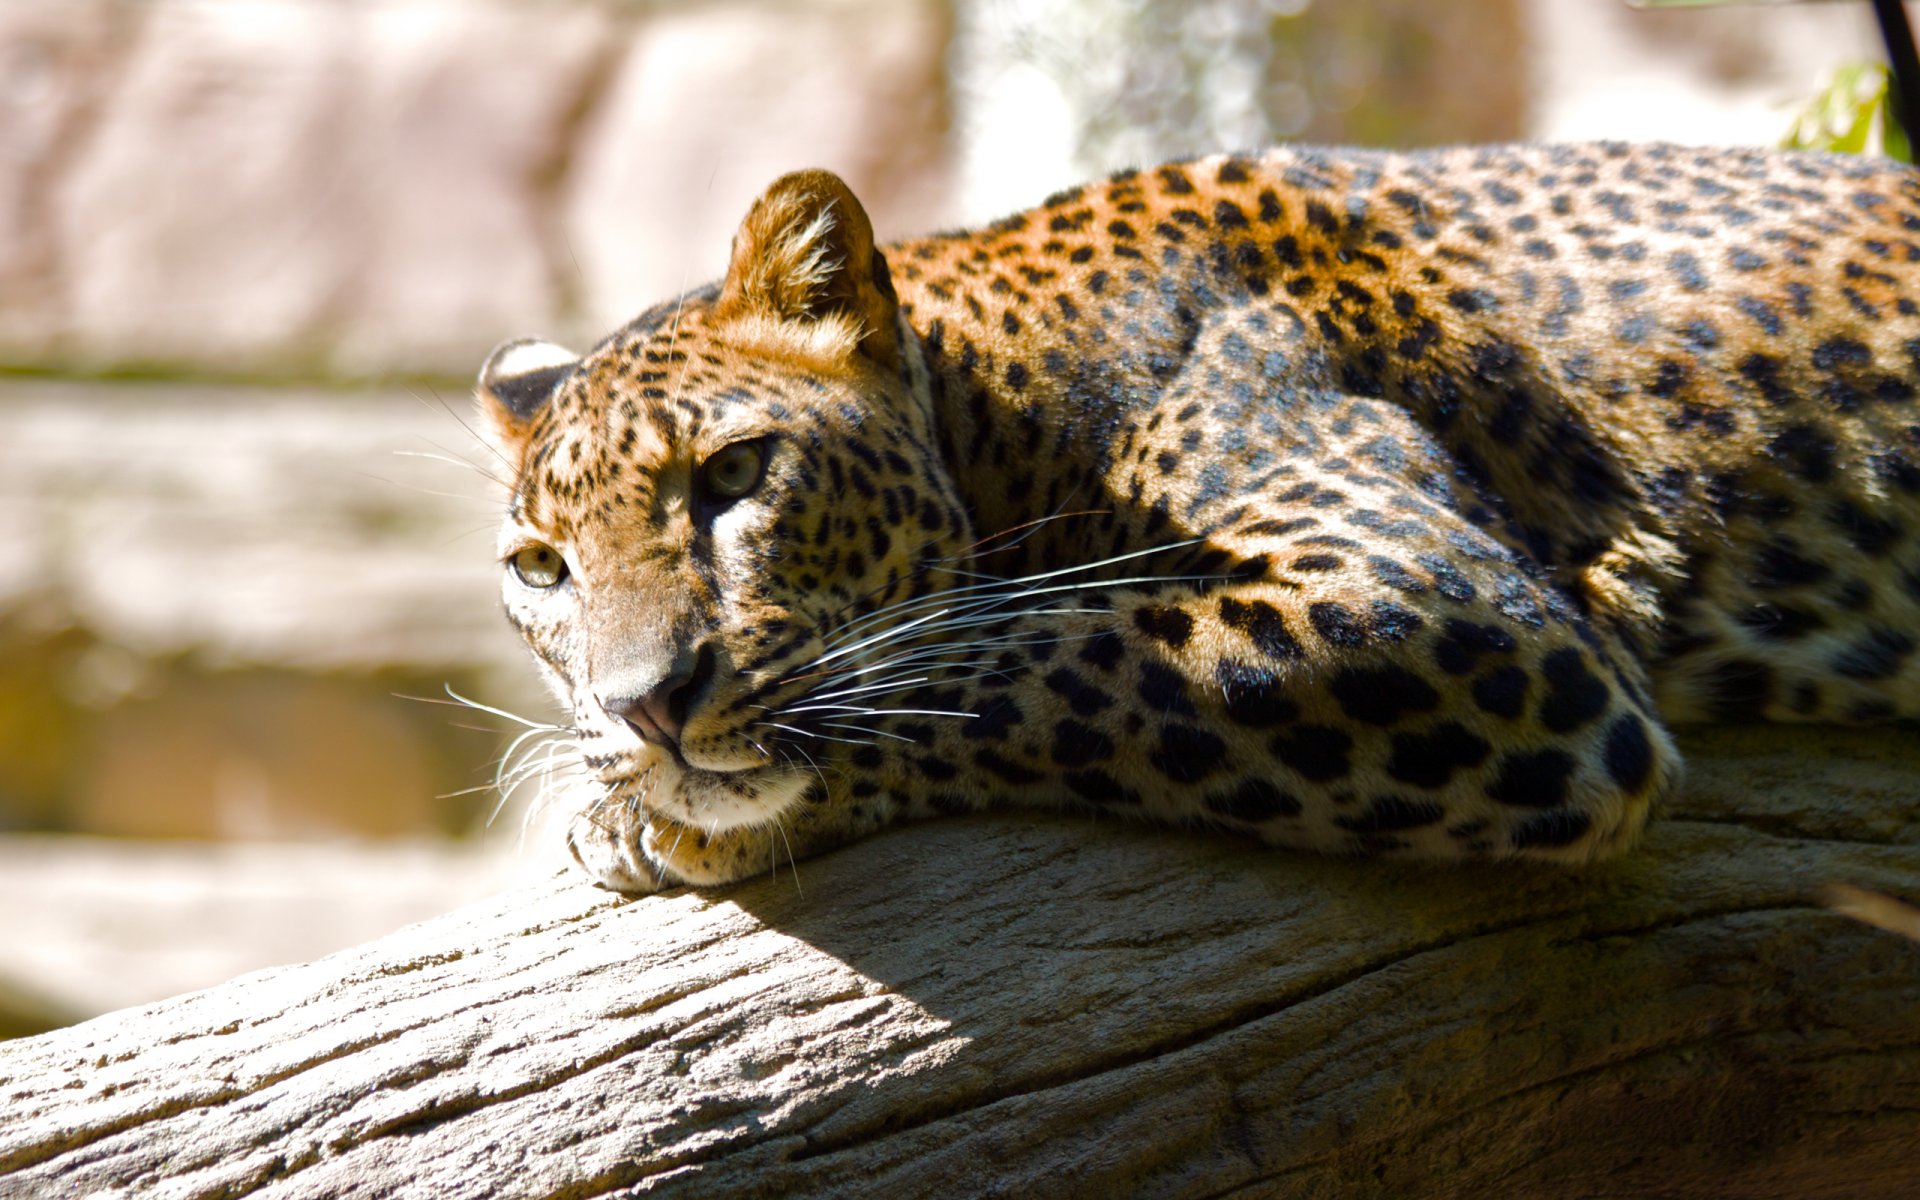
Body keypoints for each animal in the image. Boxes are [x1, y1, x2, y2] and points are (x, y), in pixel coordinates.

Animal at [475, 142, 1920, 894]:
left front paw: (653, 814)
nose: (644, 709)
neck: (1012, 404)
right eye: (541, 569)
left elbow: (1050, 655)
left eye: (733, 475)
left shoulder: (1445, 607)